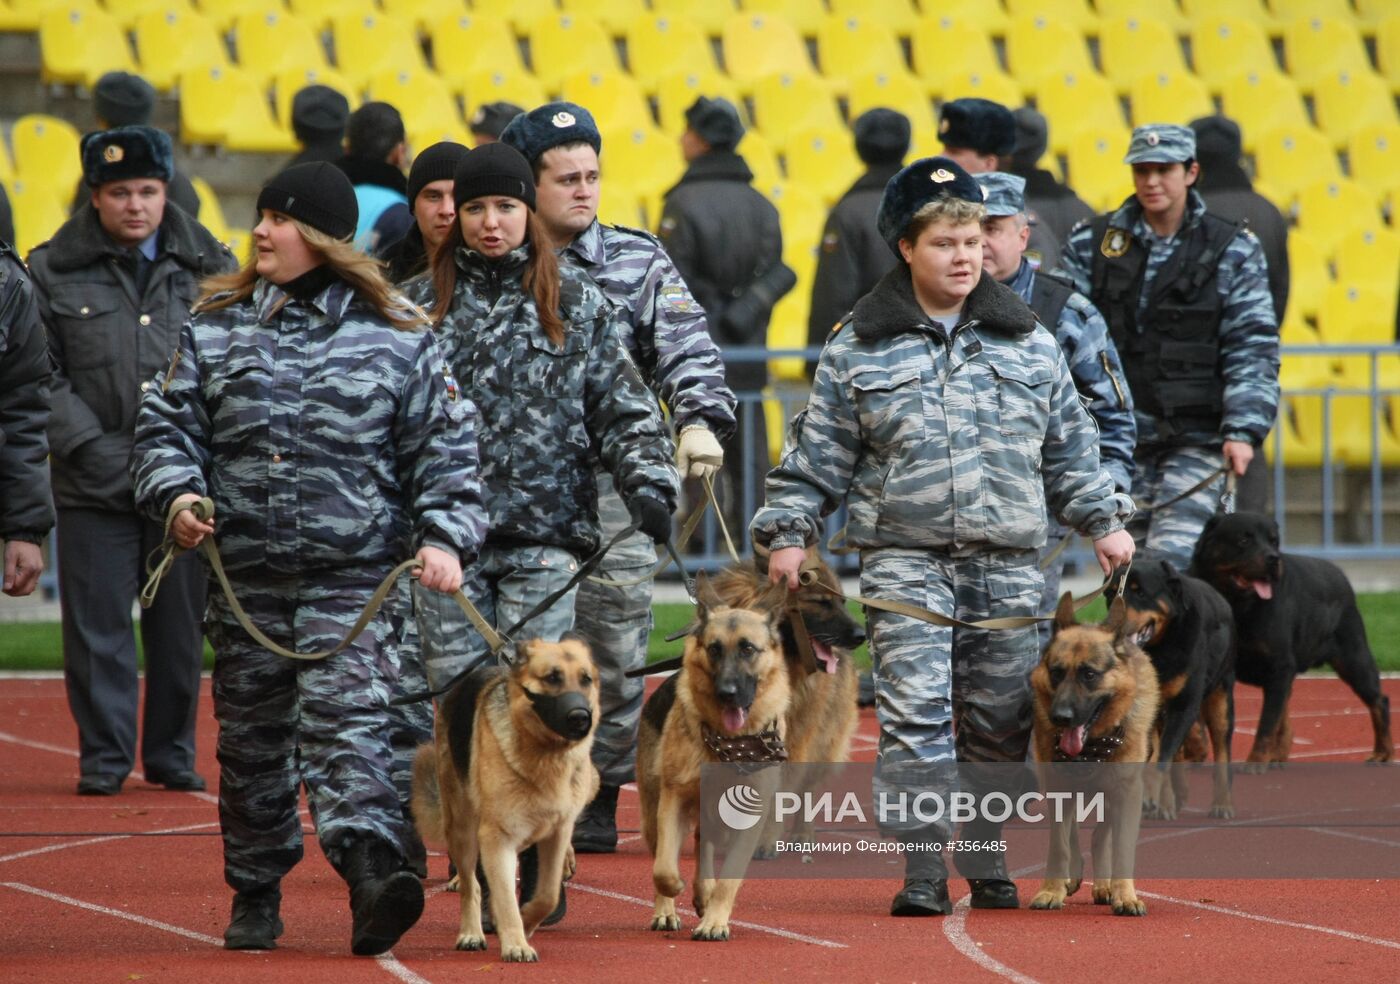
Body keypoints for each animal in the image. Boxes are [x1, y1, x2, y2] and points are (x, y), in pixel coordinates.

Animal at [408, 638, 599, 963]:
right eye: (552, 678)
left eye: (586, 679)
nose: (580, 717)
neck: (545, 754)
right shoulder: (498, 837)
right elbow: (504, 897)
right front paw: (516, 943)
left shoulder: (557, 833)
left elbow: (547, 894)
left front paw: (529, 921)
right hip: (463, 830)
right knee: (471, 884)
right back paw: (471, 932)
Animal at [641, 573, 795, 940]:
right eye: (714, 648)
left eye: (747, 648)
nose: (726, 693)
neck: (731, 741)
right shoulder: (673, 799)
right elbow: (664, 868)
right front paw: (676, 890)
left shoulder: (749, 818)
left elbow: (729, 877)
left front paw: (714, 919)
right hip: (654, 807)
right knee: (666, 852)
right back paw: (667, 910)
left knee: (704, 846)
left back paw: (704, 895)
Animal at [1030, 593, 1159, 918]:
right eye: (1056, 672)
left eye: (1089, 674)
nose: (1061, 717)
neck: (1094, 743)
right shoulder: (1058, 787)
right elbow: (1059, 844)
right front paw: (1051, 890)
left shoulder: (1127, 794)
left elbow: (1122, 848)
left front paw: (1124, 896)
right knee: (1075, 833)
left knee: (1101, 836)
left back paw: (1105, 887)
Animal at [1103, 554, 1237, 823]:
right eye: (1110, 594)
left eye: (1140, 592)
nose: (1110, 623)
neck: (1158, 649)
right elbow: (1156, 754)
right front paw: (1157, 798)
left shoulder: (1184, 704)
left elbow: (1161, 758)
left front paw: (1150, 795)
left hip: (1221, 696)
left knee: (1221, 749)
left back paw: (1222, 803)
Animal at [1192, 512, 1388, 772]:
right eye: (1244, 540)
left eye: (1274, 541)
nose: (1273, 558)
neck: (1239, 606)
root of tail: (1340, 574)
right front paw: (1196, 748)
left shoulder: (1279, 665)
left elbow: (1266, 724)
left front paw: (1255, 762)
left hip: (1353, 656)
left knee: (1379, 700)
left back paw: (1383, 752)